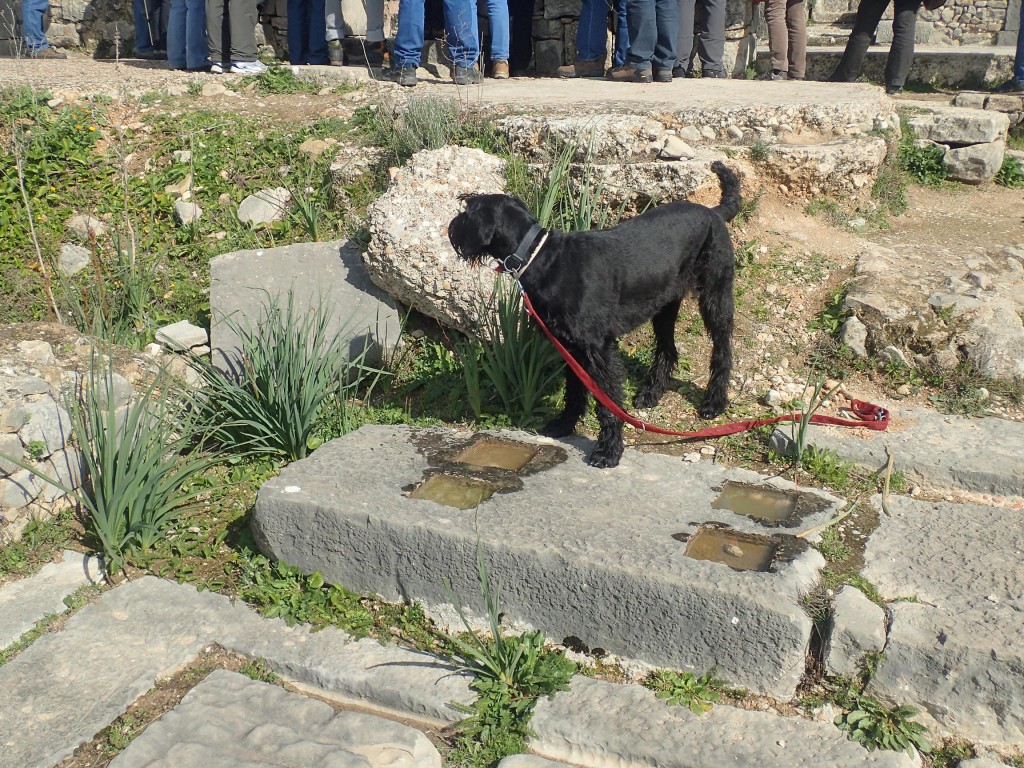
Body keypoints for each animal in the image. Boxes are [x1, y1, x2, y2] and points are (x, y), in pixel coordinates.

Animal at [452, 162, 741, 468]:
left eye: (467, 211)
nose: (451, 227)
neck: (542, 257)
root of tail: (714, 213)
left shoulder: (598, 349)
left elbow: (607, 402)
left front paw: (608, 450)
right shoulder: (570, 345)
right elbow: (575, 390)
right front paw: (564, 424)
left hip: (715, 296)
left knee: (723, 349)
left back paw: (714, 402)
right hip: (664, 306)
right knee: (668, 349)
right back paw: (650, 393)